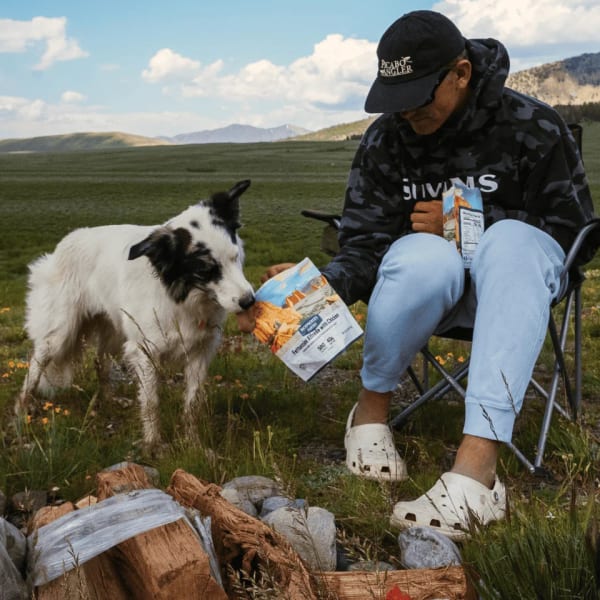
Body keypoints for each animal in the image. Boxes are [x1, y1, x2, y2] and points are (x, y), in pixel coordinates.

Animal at [16, 178, 255, 446]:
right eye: (206, 270)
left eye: (236, 256)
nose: (249, 301)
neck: (182, 298)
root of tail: (65, 242)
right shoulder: (145, 352)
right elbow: (151, 403)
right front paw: (154, 445)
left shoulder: (200, 350)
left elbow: (193, 404)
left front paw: (193, 443)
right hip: (60, 333)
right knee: (35, 365)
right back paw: (21, 411)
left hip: (113, 330)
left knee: (100, 361)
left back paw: (109, 399)